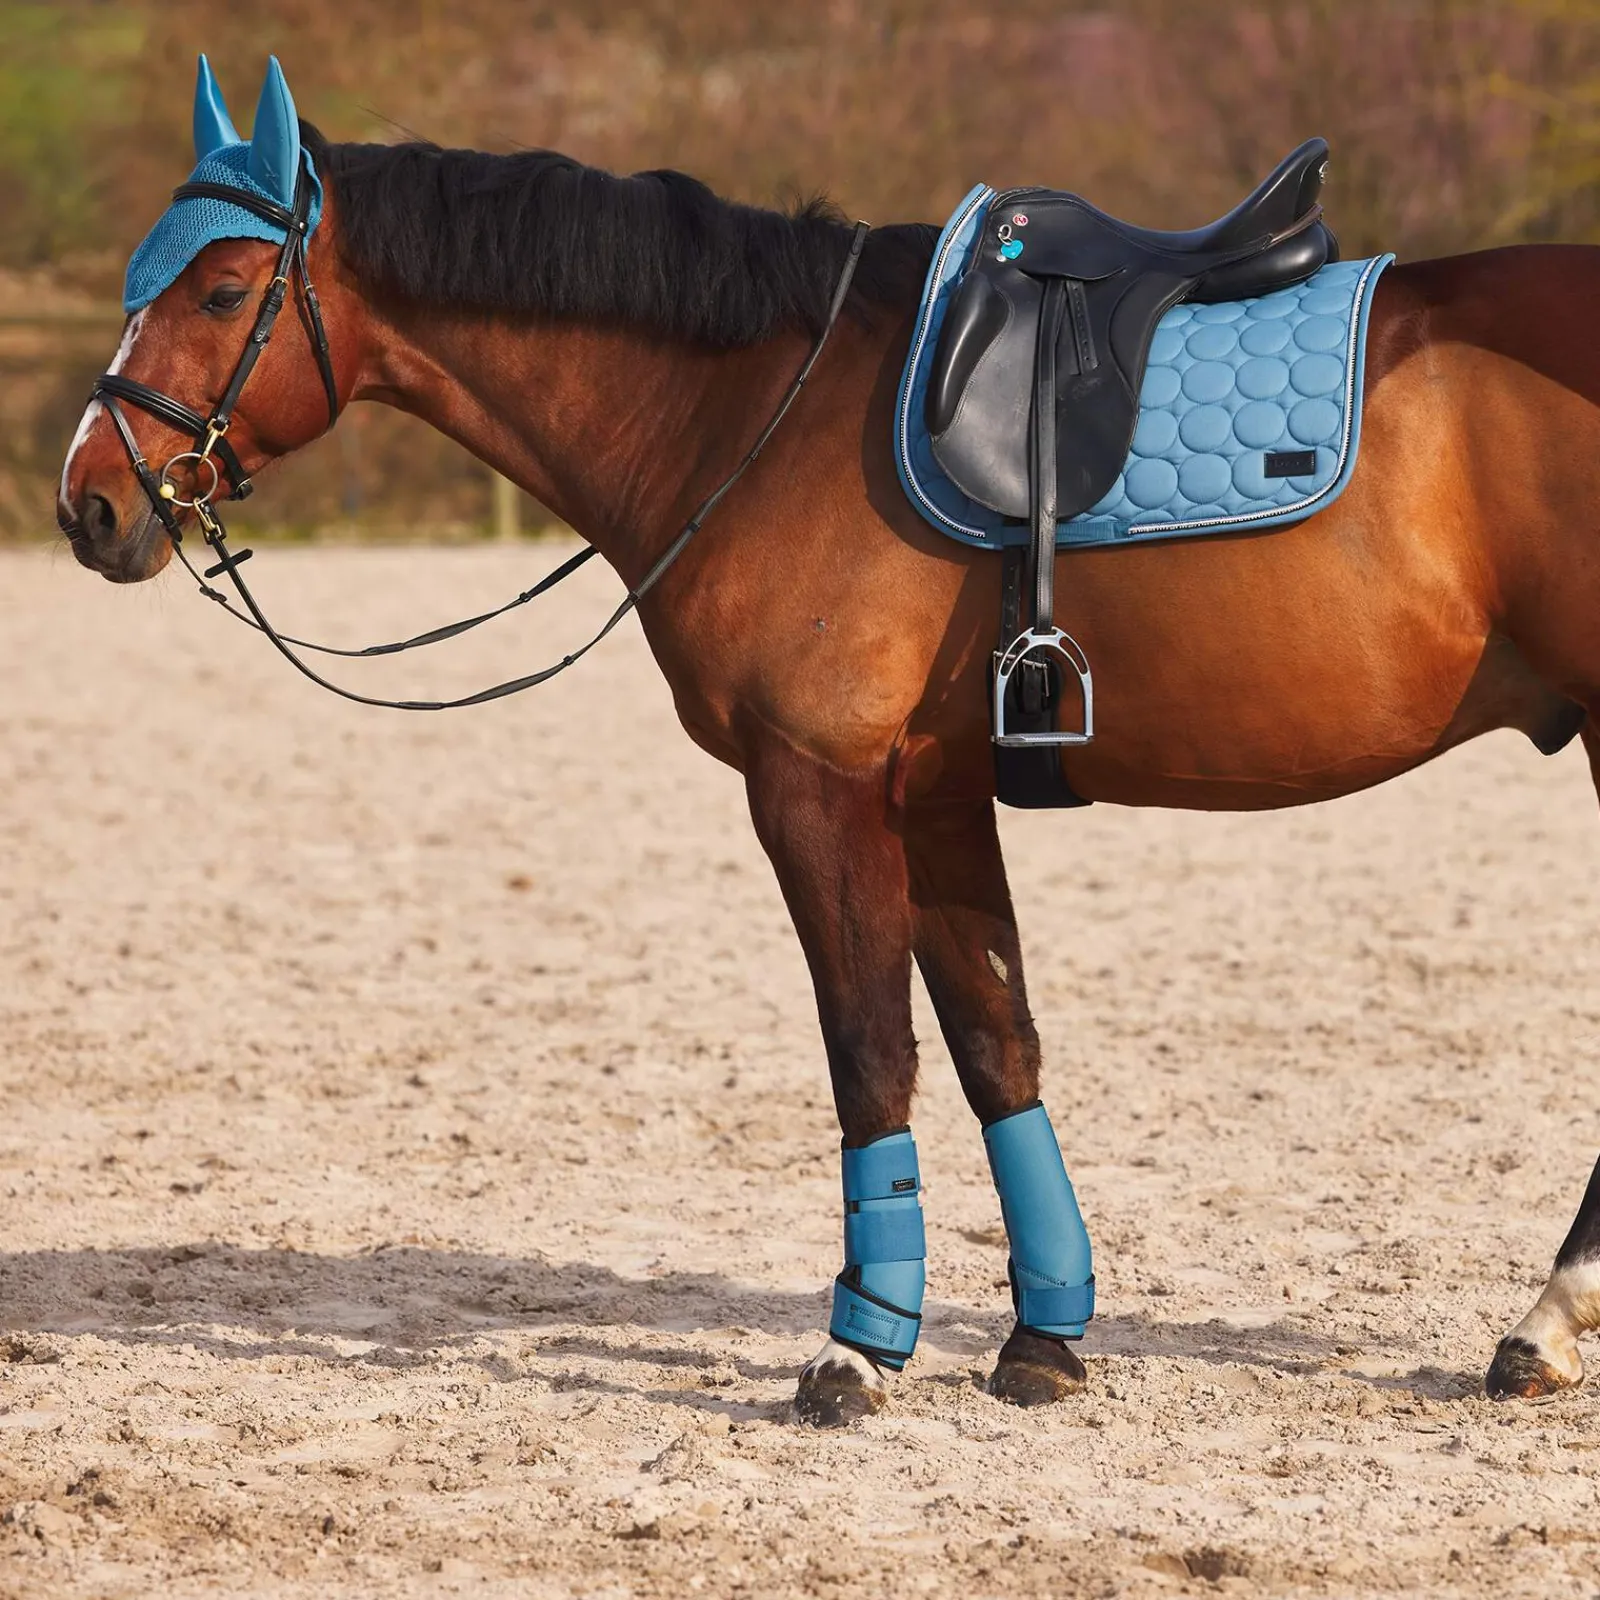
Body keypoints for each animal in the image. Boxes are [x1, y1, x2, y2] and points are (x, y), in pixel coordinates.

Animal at [56, 59, 1600, 1427]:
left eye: (222, 289)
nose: (88, 504)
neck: (749, 408)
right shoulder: (939, 797)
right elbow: (994, 1043)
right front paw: (1043, 1339)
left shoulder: (817, 787)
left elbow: (869, 1050)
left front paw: (860, 1347)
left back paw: (1542, 1326)